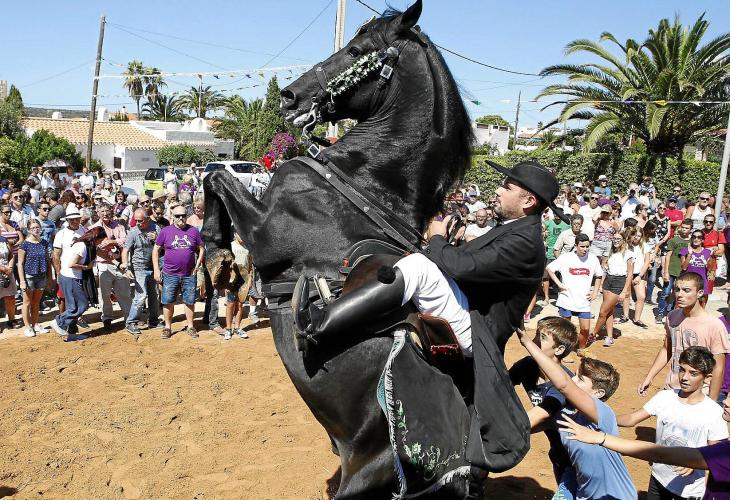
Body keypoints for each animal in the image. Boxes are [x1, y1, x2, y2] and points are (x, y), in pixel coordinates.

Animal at [202, 2, 474, 496]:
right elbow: (215, 177)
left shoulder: (265, 230)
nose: (290, 96)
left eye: (357, 51)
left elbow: (215, 178)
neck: (364, 179)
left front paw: (216, 254)